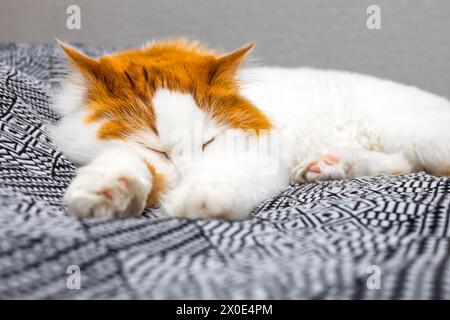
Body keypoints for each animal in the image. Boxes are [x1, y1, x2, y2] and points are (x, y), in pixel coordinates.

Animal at [49, 39, 450, 220]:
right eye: (156, 148)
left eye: (209, 142)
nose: (188, 174)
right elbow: (121, 165)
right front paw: (106, 192)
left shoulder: (255, 156)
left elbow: (221, 177)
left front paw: (199, 198)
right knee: (399, 164)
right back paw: (328, 164)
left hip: (416, 134)